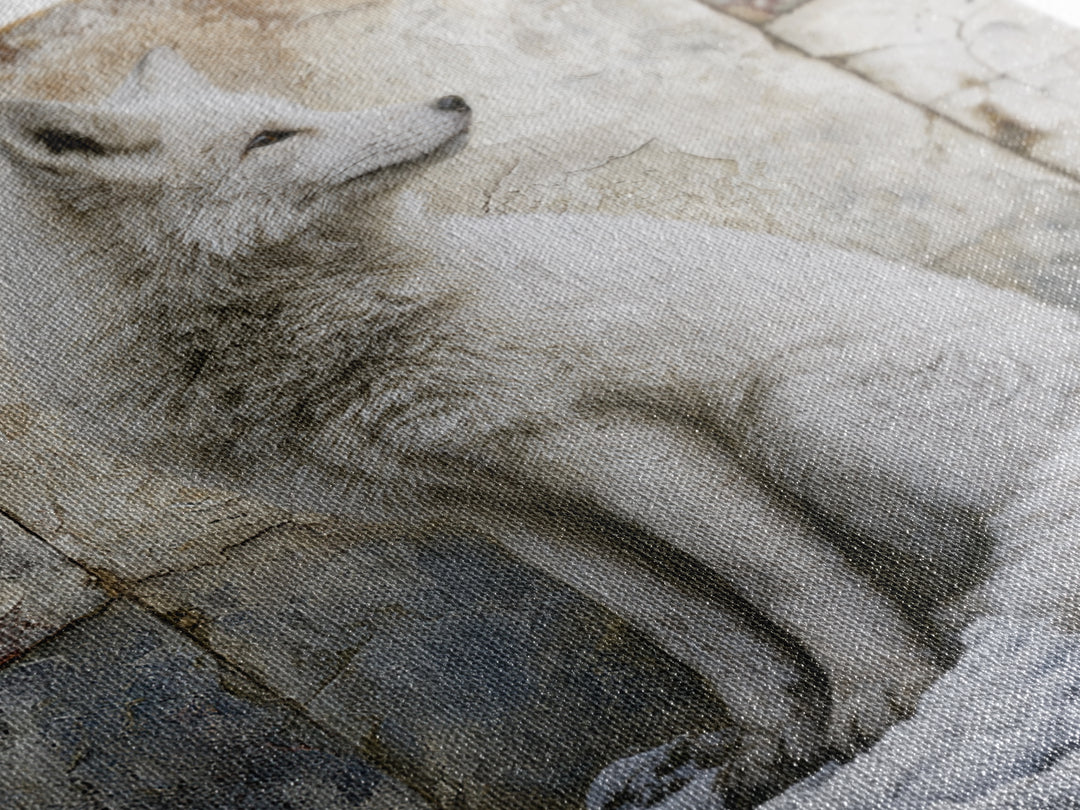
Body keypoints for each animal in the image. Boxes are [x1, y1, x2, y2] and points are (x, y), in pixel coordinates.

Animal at [2, 46, 1080, 807]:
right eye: (270, 137)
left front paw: (886, 699)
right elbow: (692, 624)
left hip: (795, 408)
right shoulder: (499, 501)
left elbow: (779, 570)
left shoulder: (595, 429)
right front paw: (777, 744)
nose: (453, 101)